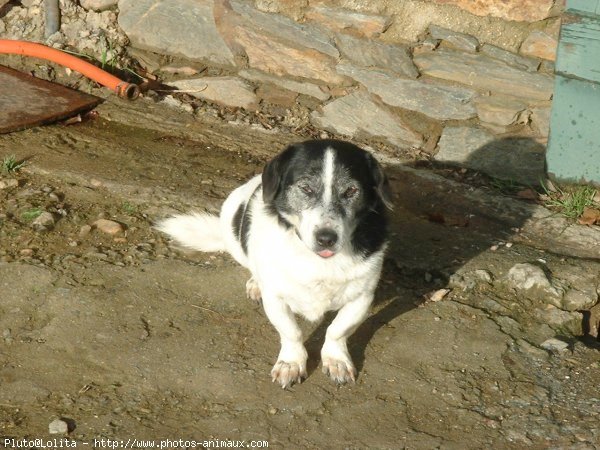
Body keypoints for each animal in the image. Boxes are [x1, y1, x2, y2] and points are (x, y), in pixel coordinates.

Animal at [156, 139, 394, 388]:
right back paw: (255, 283)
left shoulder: (362, 298)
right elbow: (291, 331)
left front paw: (336, 360)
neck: (317, 259)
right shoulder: (275, 298)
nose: (326, 238)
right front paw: (291, 363)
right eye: (306, 188)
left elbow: (337, 329)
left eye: (351, 191)